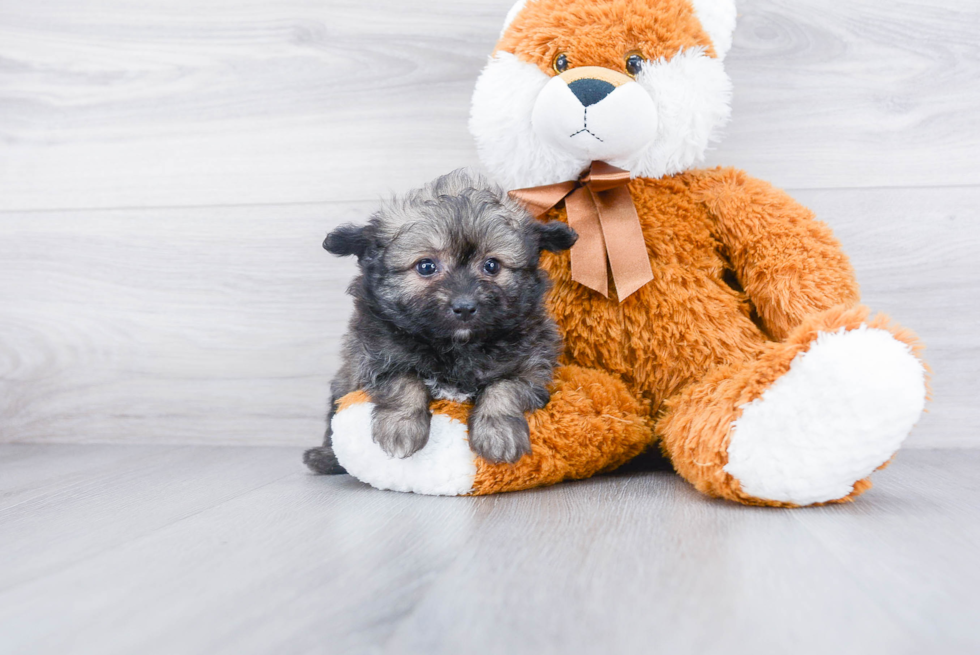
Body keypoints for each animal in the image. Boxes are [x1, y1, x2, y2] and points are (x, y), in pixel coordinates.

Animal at [300, 170, 576, 476]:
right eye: (426, 266)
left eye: (492, 265)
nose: (465, 307)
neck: (456, 347)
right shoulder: (372, 359)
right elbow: (403, 380)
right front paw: (401, 427)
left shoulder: (532, 367)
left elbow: (504, 388)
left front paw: (498, 433)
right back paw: (325, 457)